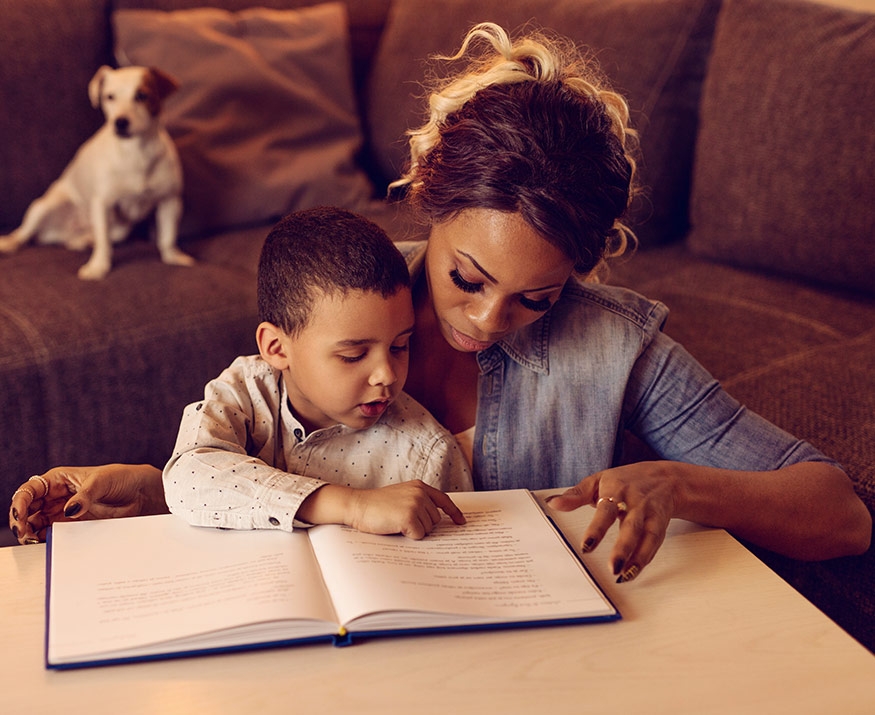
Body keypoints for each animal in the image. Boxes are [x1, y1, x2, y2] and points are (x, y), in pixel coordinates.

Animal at [0, 65, 193, 280]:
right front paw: (98, 266)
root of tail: (63, 232)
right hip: (42, 207)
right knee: (23, 233)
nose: (120, 122)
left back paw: (82, 241)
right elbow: (103, 242)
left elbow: (168, 236)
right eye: (109, 97)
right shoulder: (103, 203)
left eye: (142, 95)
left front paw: (173, 256)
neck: (137, 152)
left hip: (122, 228)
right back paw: (9, 243)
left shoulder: (170, 200)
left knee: (93, 236)